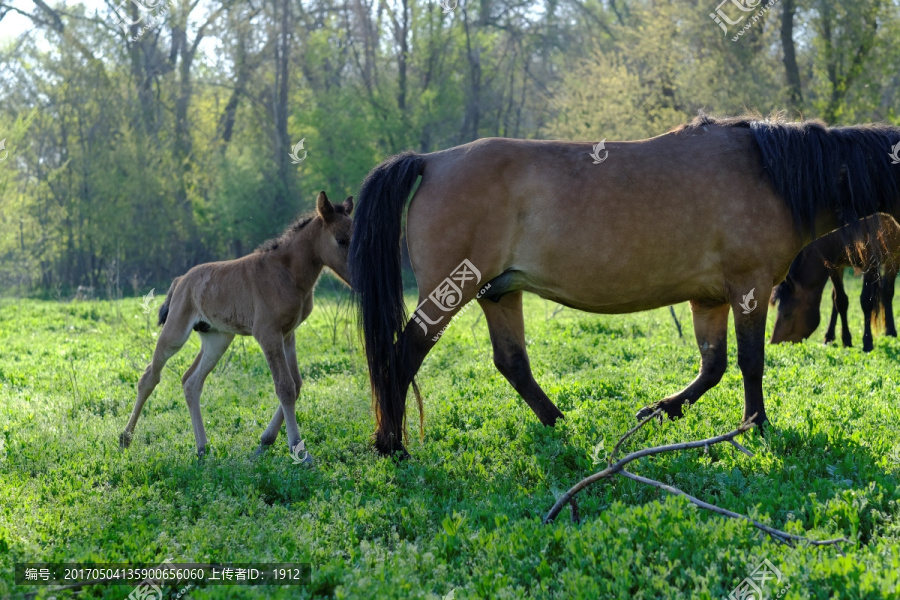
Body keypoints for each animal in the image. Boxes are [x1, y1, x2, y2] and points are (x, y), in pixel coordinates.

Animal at [121, 192, 354, 460]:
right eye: (341, 239)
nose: (358, 275)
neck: (287, 273)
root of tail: (180, 280)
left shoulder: (288, 334)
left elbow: (295, 384)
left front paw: (266, 441)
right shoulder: (267, 334)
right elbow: (285, 387)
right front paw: (299, 451)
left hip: (218, 339)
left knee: (191, 382)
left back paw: (202, 449)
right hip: (175, 333)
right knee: (149, 377)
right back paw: (125, 438)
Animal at [768, 217, 900, 352]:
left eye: (787, 314)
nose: (774, 343)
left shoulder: (870, 261)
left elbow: (866, 302)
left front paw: (867, 342)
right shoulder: (834, 266)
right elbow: (840, 301)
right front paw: (846, 340)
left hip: (894, 258)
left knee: (887, 291)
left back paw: (891, 332)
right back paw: (829, 336)